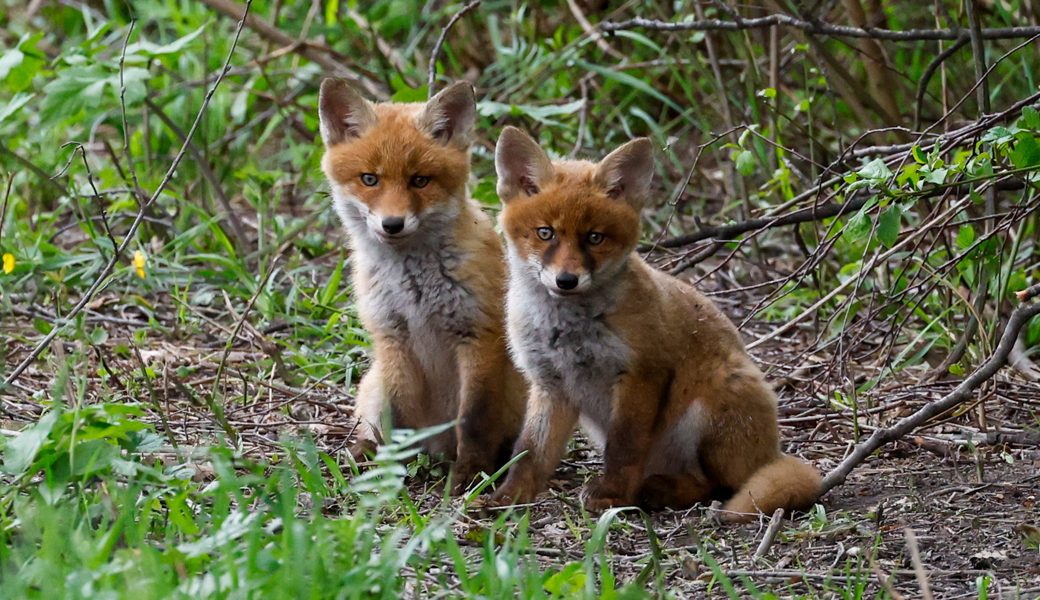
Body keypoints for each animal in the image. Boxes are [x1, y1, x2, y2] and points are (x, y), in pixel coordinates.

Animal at [316, 79, 528, 490]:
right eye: (370, 179)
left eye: (420, 180)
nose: (392, 224)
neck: (414, 288)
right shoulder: (391, 335)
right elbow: (399, 413)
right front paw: (392, 469)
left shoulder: (477, 334)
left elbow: (474, 420)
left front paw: (470, 475)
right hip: (375, 382)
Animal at [486, 126, 819, 519]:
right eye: (545, 233)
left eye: (594, 238)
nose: (566, 281)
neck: (567, 330)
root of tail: (772, 453)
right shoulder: (550, 384)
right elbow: (529, 453)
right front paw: (509, 498)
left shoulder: (642, 373)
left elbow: (624, 447)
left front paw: (612, 497)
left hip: (713, 402)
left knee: (716, 486)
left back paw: (655, 493)